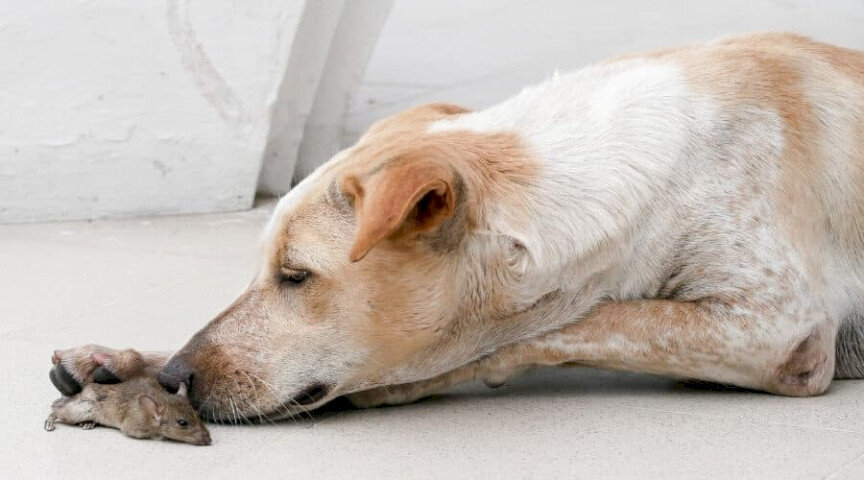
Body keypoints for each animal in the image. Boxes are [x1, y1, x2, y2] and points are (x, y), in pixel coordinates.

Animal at [50, 33, 860, 422]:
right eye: (263, 269)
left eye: (296, 276)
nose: (178, 379)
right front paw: (128, 361)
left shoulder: (778, 327)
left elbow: (554, 327)